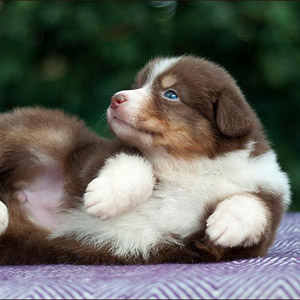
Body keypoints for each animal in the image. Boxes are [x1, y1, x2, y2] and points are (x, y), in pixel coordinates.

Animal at [0, 55, 290, 264]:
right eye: (137, 85)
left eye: (170, 94)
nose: (115, 98)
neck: (189, 165)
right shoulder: (101, 153)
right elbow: (137, 165)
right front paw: (105, 197)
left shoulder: (263, 205)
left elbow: (255, 205)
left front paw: (226, 224)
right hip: (45, 132)